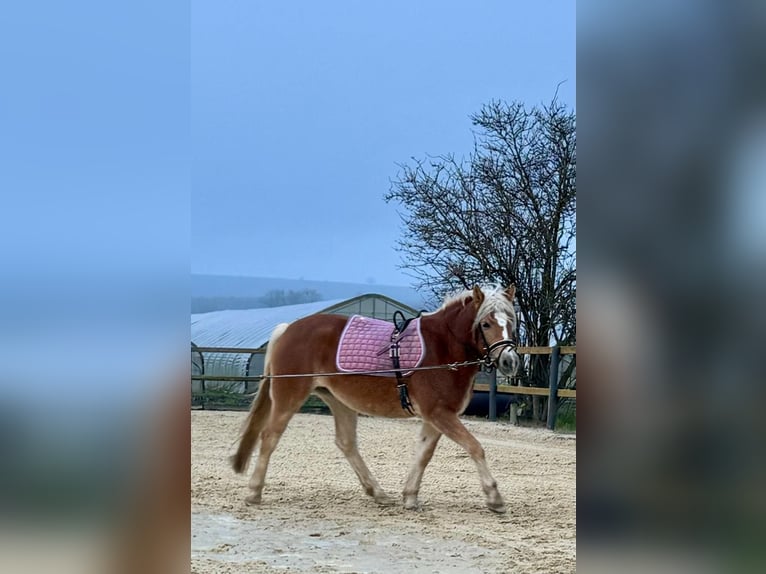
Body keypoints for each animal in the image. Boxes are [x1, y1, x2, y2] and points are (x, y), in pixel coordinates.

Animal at [231, 286, 520, 516]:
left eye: (511, 322)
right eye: (486, 324)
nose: (509, 361)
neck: (443, 347)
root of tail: (288, 328)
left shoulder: (436, 416)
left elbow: (424, 454)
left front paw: (410, 496)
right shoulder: (439, 413)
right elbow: (475, 447)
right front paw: (495, 498)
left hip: (339, 401)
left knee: (346, 443)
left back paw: (377, 492)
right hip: (289, 396)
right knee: (269, 436)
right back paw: (254, 493)